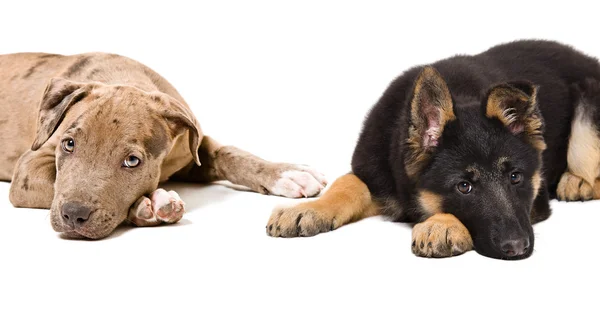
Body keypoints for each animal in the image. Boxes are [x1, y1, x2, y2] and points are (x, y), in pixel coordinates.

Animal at [0, 53, 326, 238]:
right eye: (69, 144)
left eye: (132, 161)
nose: (73, 216)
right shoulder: (29, 167)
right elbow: (55, 182)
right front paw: (150, 205)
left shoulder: (192, 148)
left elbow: (230, 154)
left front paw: (285, 172)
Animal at [268, 39, 600, 258]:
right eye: (464, 186)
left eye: (515, 177)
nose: (517, 248)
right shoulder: (373, 170)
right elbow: (347, 183)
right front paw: (310, 209)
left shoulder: (536, 199)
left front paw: (441, 225)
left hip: (588, 100)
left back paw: (576, 182)